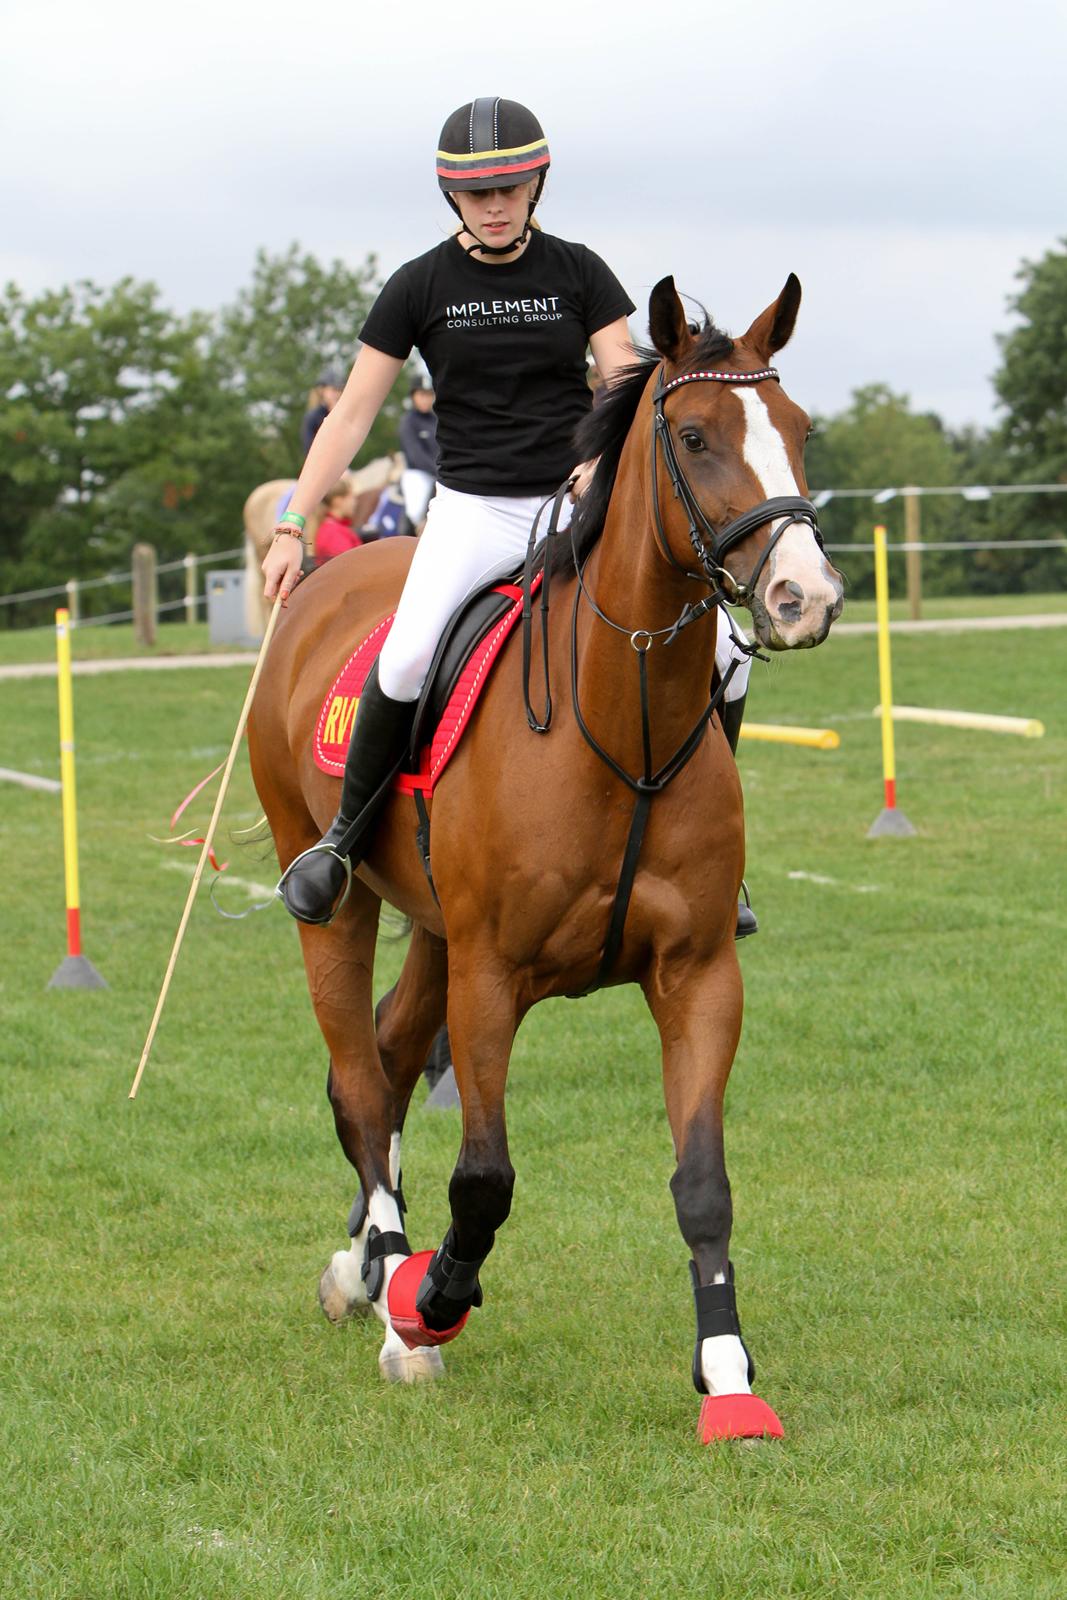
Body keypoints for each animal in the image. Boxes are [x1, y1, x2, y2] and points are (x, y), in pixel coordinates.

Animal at [247, 272, 844, 1440]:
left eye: (798, 430)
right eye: (695, 436)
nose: (805, 598)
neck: (620, 728)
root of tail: (318, 589)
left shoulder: (698, 974)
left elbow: (702, 1181)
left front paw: (727, 1375)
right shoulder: (491, 975)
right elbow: (484, 1176)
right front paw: (433, 1300)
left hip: (430, 927)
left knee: (388, 1059)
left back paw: (363, 1265)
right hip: (338, 902)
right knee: (358, 1078)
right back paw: (395, 1291)